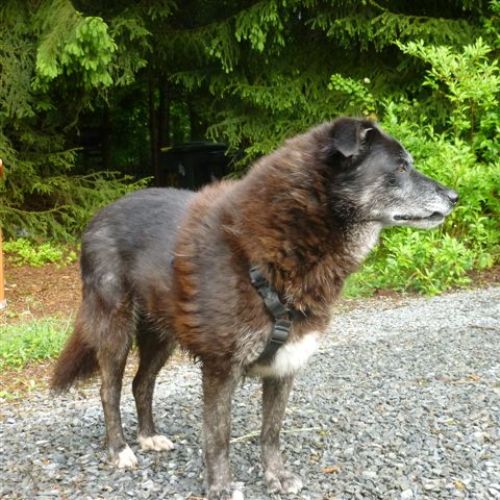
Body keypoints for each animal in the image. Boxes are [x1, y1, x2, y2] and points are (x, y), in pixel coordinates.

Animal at [52, 117, 458, 499]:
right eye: (401, 167)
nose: (455, 196)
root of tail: (98, 216)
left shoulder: (286, 364)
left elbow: (271, 430)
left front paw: (275, 476)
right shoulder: (221, 368)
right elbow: (218, 436)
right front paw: (219, 487)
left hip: (161, 334)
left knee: (142, 383)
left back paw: (149, 436)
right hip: (115, 329)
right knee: (110, 391)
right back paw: (119, 450)